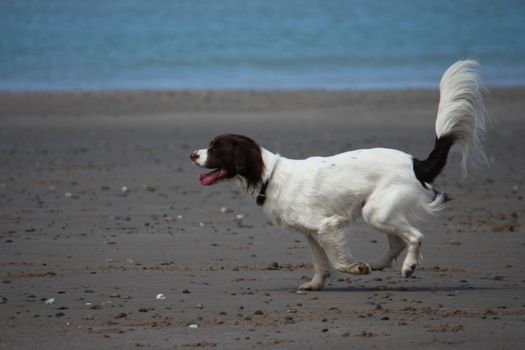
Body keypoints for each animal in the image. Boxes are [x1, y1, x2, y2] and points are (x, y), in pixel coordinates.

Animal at [190, 60, 490, 290]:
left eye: (215, 148)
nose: (192, 155)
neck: (270, 177)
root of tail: (416, 163)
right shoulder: (311, 233)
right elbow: (320, 262)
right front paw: (315, 284)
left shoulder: (325, 226)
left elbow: (335, 260)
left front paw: (355, 268)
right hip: (379, 212)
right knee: (397, 241)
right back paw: (381, 263)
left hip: (376, 211)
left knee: (415, 236)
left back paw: (408, 266)